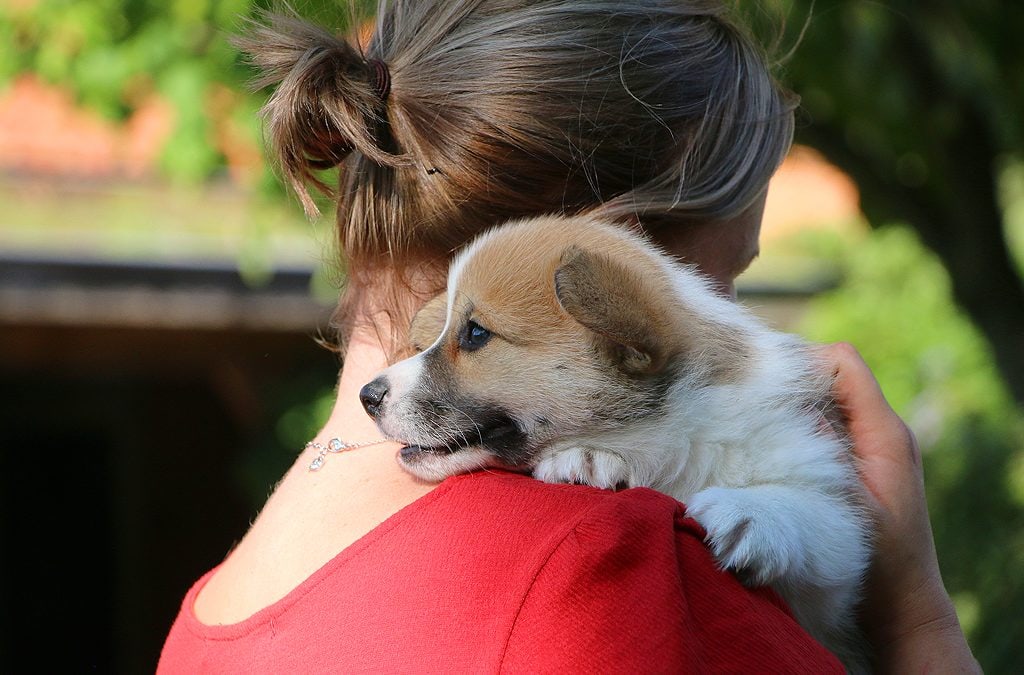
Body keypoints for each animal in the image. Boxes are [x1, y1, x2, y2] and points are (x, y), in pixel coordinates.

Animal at [360, 214, 872, 667]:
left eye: (476, 333)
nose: (368, 396)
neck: (672, 431)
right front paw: (585, 457)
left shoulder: (830, 553)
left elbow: (824, 523)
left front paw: (750, 514)